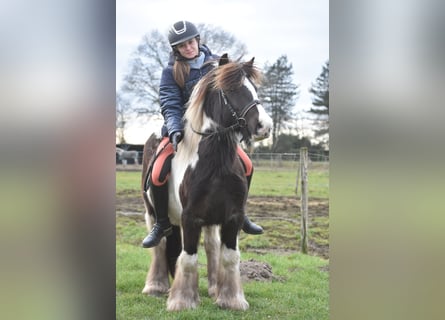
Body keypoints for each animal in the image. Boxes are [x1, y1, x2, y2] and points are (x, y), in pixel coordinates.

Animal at [140, 53, 272, 312]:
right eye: (231, 90)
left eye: (254, 88)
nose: (265, 126)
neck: (215, 165)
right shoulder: (190, 218)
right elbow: (189, 258)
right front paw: (182, 301)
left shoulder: (232, 217)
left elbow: (229, 257)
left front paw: (231, 299)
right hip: (153, 212)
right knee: (160, 245)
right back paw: (156, 286)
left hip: (210, 220)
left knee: (211, 247)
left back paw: (213, 287)